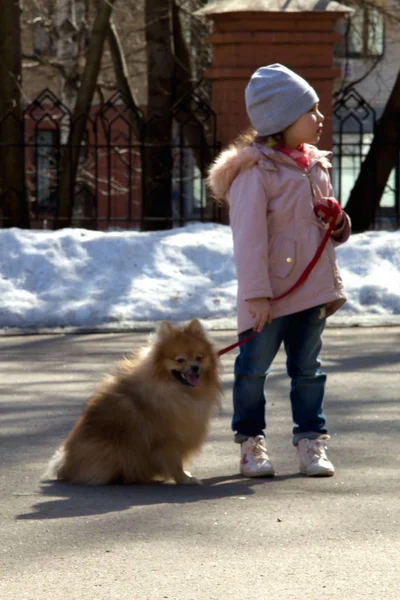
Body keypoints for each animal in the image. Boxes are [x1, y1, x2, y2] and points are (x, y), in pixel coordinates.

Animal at [47, 322, 223, 486]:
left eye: (199, 357)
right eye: (180, 360)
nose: (195, 367)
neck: (177, 390)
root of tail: (64, 464)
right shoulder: (168, 438)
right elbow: (174, 462)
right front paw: (185, 478)